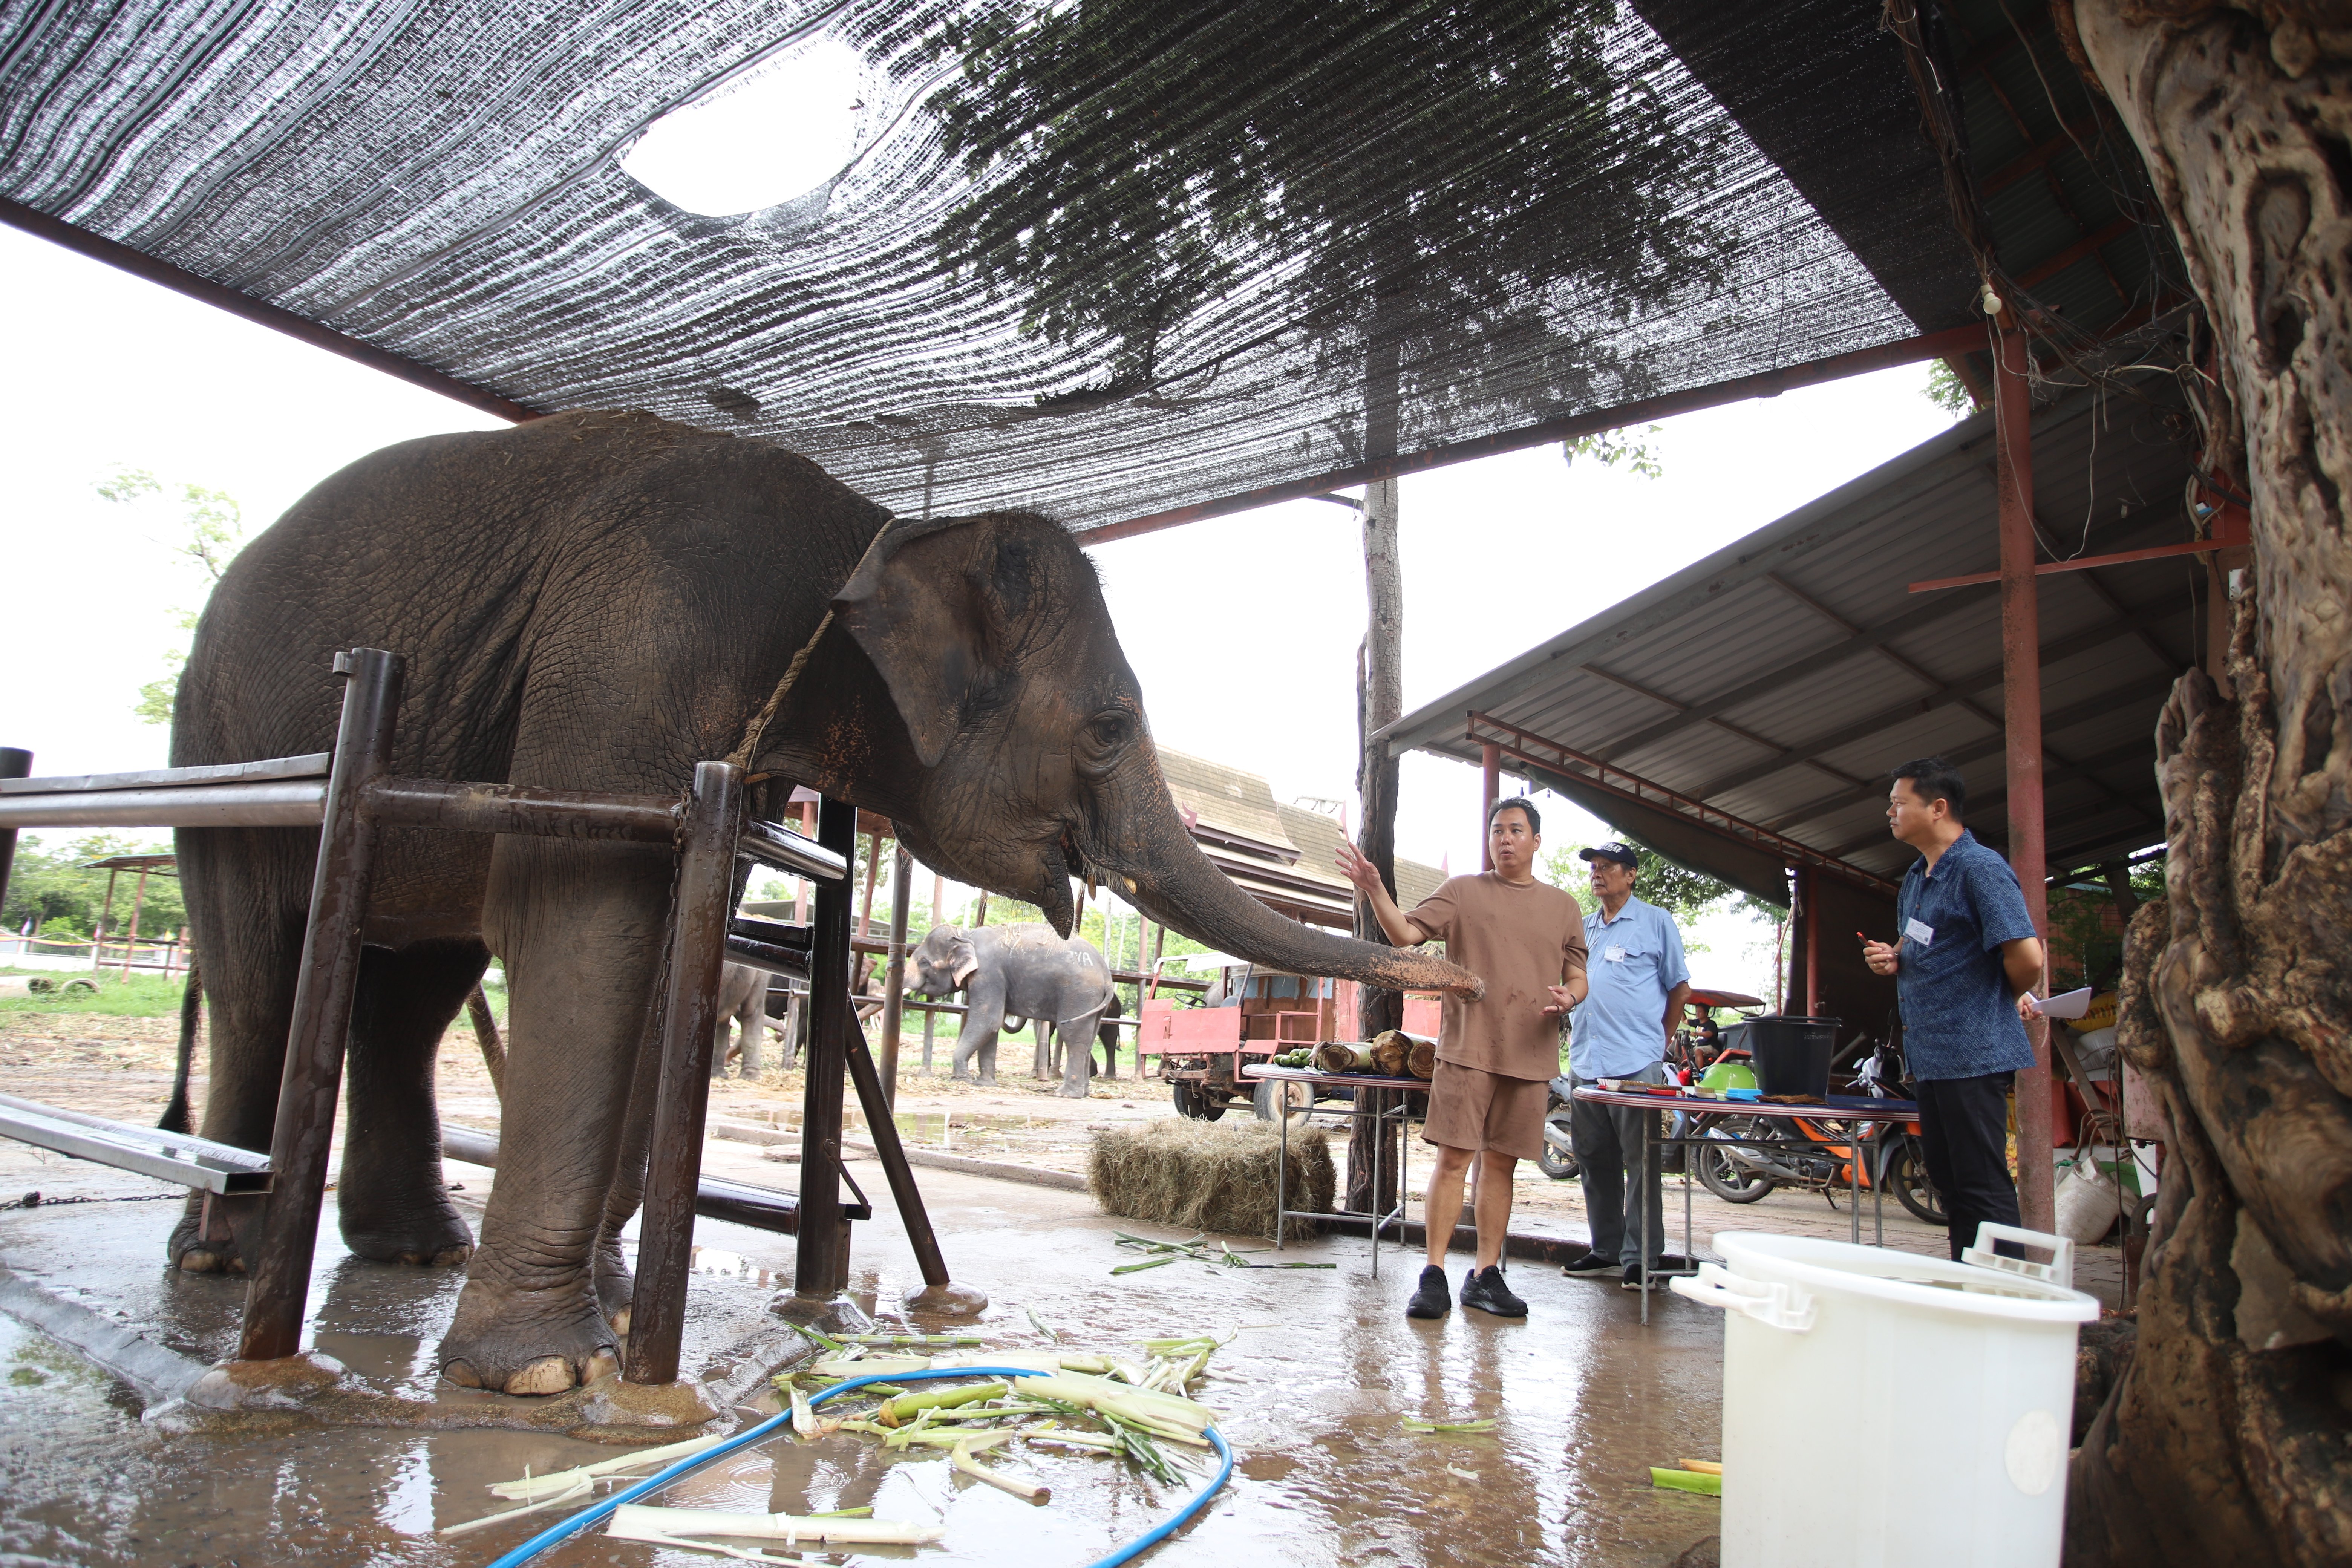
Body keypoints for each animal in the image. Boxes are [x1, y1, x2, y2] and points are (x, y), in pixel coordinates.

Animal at [903, 926, 1115, 1100]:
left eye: (924, 962)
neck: (966, 935)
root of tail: (1107, 977)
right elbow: (992, 1027)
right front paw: (984, 1084)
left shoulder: (988, 973)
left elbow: (988, 1020)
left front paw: (960, 1080)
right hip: (1094, 1004)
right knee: (1088, 1040)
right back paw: (1084, 1093)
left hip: (1079, 994)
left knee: (1073, 1037)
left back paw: (1066, 1094)